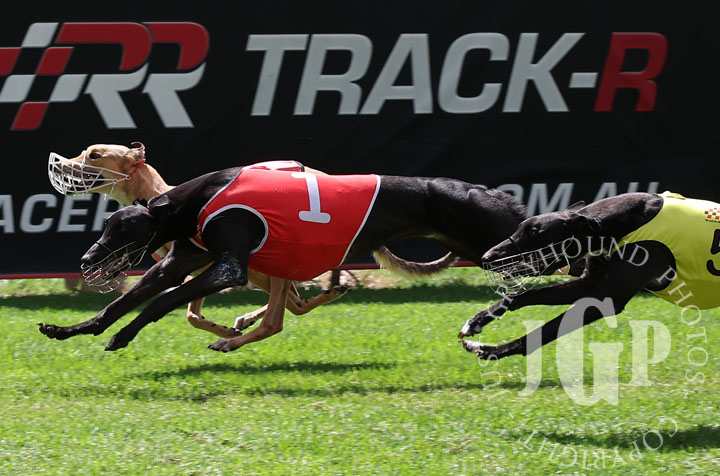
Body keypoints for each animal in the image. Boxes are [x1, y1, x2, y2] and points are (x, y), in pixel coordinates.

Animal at [38, 165, 526, 352]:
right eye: (106, 226)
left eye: (121, 229)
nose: (87, 258)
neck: (193, 201)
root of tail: (493, 194)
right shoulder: (176, 261)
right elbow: (117, 304)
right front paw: (67, 330)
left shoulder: (227, 268)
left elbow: (161, 302)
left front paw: (122, 337)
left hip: (497, 246)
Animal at [458, 191, 720, 360]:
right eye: (518, 228)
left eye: (535, 233)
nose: (486, 256)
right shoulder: (587, 283)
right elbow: (522, 296)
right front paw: (476, 321)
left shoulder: (608, 299)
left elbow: (543, 331)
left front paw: (487, 350)